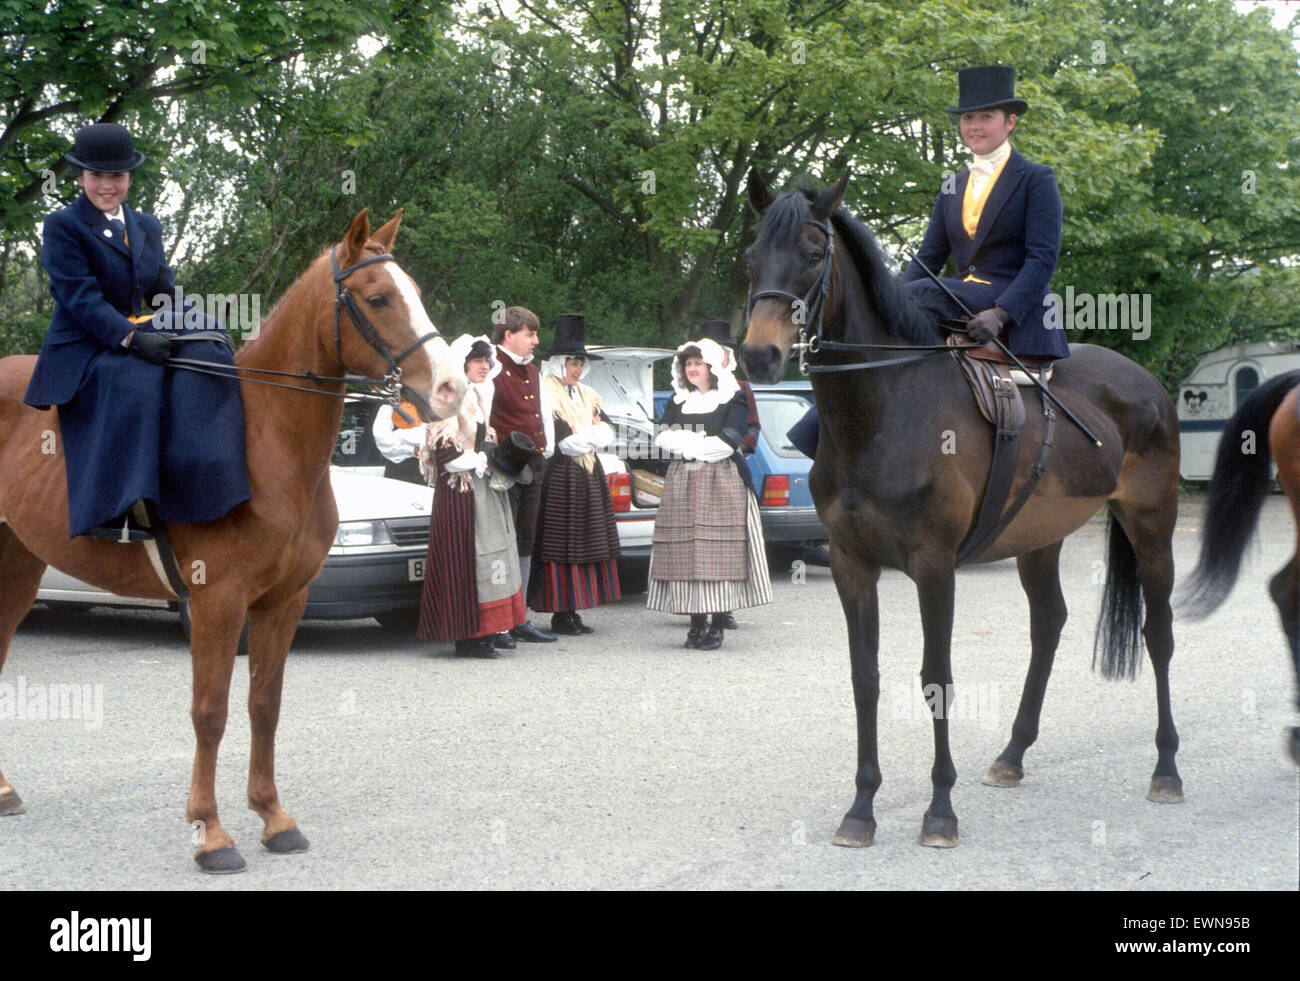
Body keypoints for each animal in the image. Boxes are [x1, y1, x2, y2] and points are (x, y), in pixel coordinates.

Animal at [0, 210, 467, 873]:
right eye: (378, 298)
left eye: (416, 294)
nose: (451, 389)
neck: (266, 439)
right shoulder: (216, 602)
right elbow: (210, 712)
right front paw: (211, 833)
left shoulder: (284, 601)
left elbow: (263, 706)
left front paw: (274, 819)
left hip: (18, 564)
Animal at [738, 172, 1185, 847]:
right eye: (751, 256)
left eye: (813, 256)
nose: (758, 356)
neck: (884, 407)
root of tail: (1147, 382)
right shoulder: (849, 562)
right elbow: (865, 678)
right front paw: (861, 807)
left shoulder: (934, 565)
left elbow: (936, 678)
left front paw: (940, 810)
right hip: (1039, 538)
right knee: (1048, 624)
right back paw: (1013, 755)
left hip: (1152, 523)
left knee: (1157, 634)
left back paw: (1166, 769)